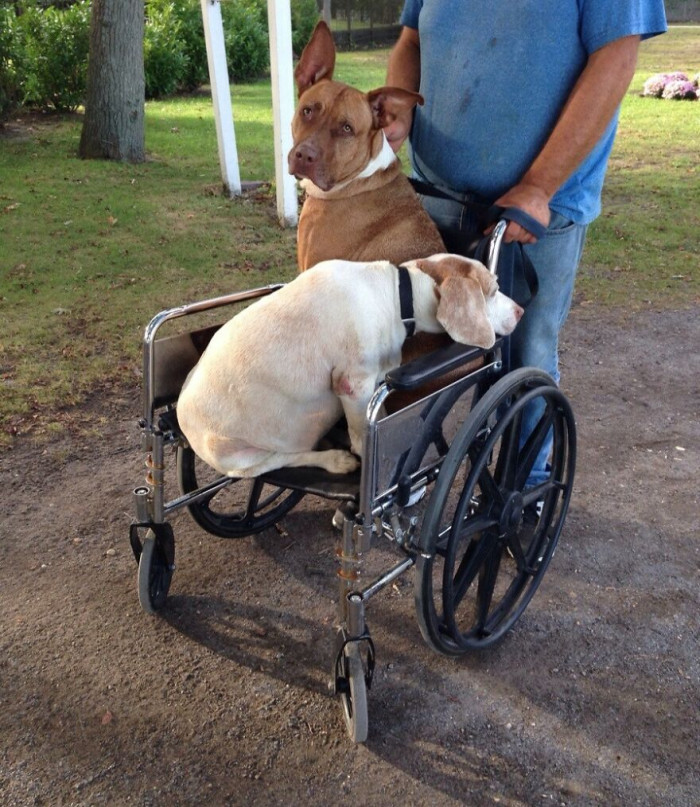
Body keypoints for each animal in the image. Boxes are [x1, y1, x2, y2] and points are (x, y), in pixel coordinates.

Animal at [178, 256, 524, 476]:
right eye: (493, 290)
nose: (521, 310)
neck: (394, 296)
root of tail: (181, 424)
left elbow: (379, 417)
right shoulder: (352, 384)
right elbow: (361, 434)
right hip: (238, 457)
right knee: (280, 460)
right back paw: (336, 460)